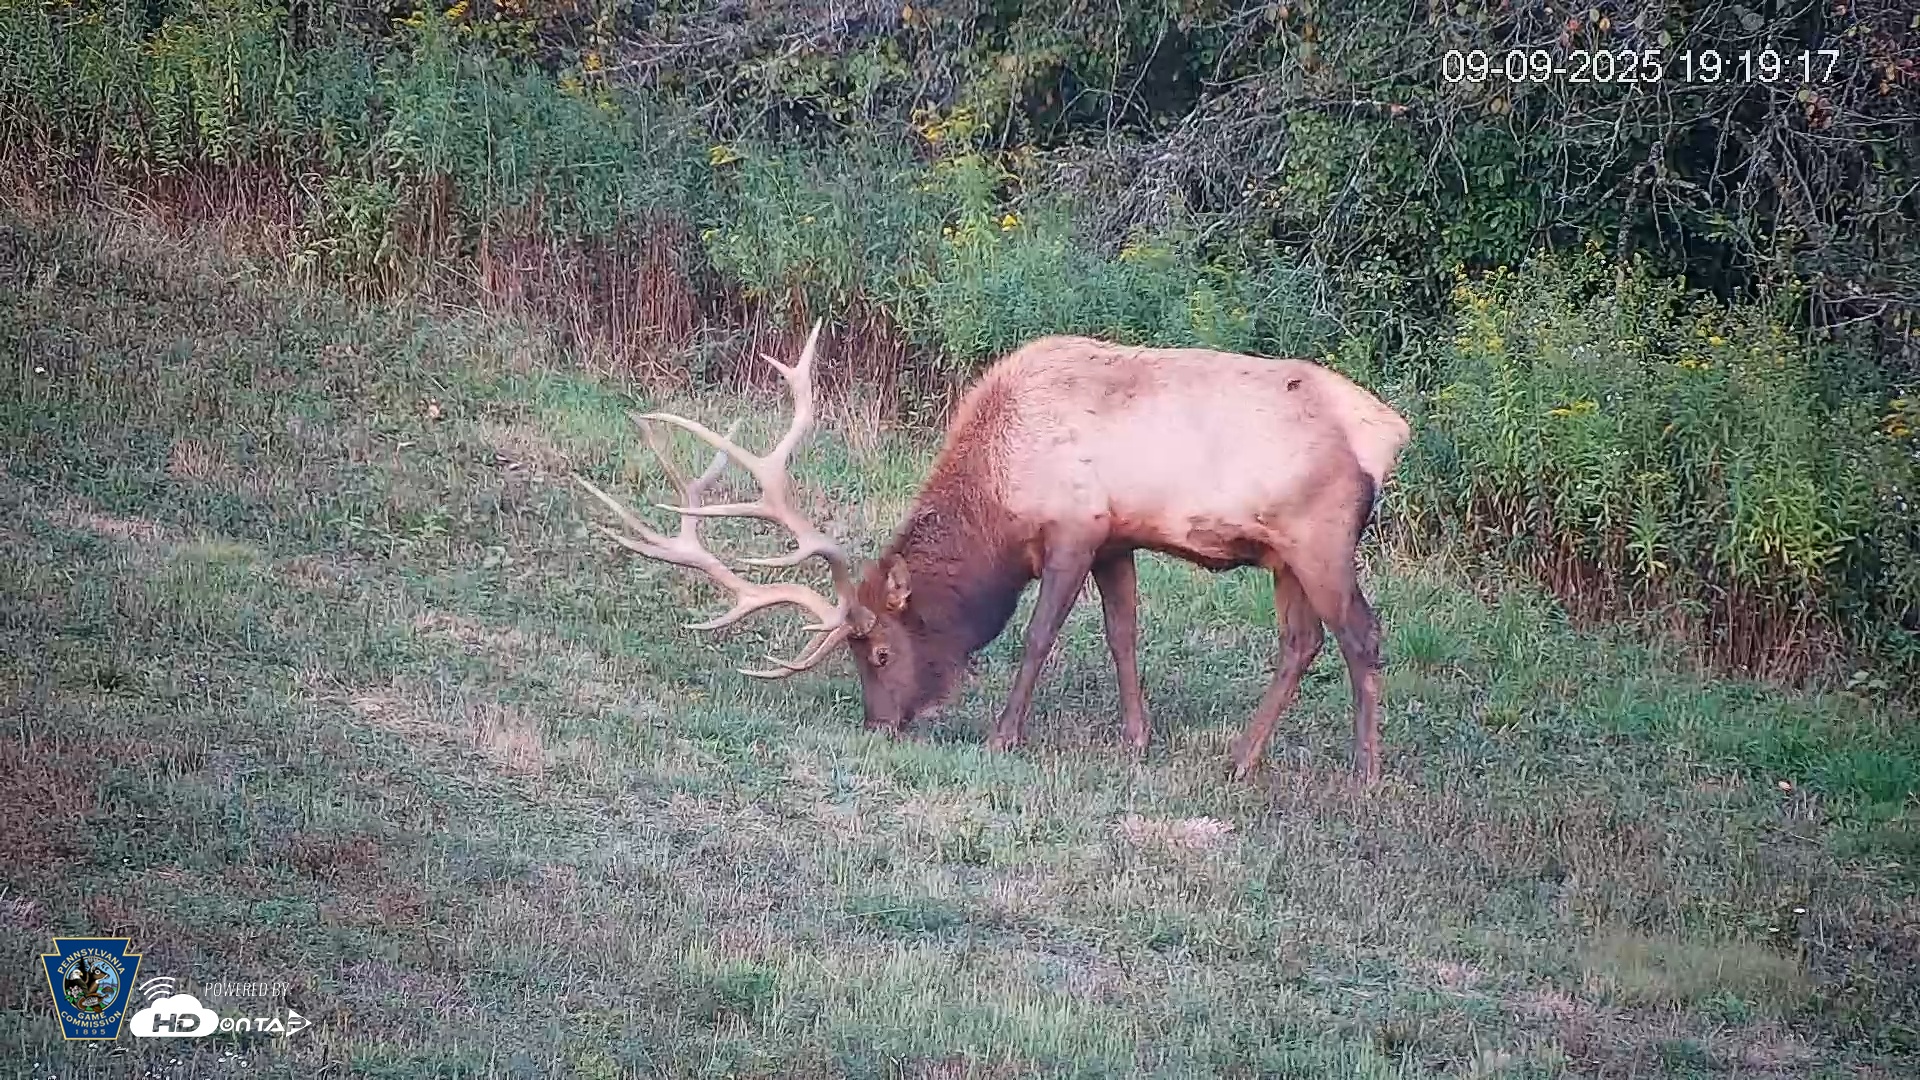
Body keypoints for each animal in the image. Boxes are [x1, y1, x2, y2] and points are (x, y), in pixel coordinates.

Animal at [574, 321, 1412, 785]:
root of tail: (1390, 433)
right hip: (1283, 557)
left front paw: (1004, 735)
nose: (880, 725)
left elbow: (1039, 636)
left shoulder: (1075, 527)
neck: (1001, 497)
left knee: (1362, 636)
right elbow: (1124, 636)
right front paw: (1136, 738)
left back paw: (1365, 773)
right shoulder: (1116, 536)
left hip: (1321, 537)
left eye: (879, 651)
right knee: (1301, 643)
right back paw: (1241, 759)